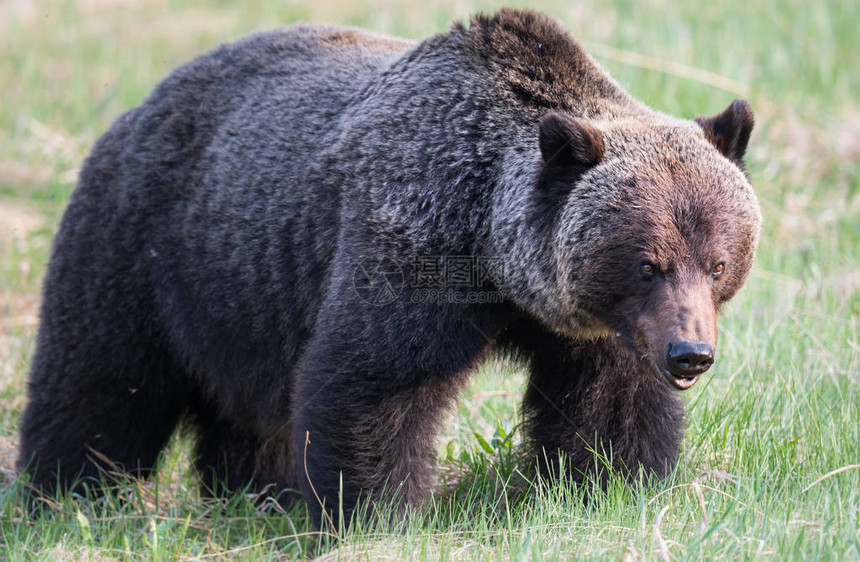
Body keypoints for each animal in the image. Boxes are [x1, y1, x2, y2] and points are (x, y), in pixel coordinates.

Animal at [16, 9, 760, 524]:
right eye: (648, 263)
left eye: (718, 262)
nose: (691, 353)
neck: (491, 256)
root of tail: (141, 104)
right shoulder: (409, 243)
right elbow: (373, 382)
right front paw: (375, 511)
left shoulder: (598, 328)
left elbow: (608, 407)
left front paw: (610, 485)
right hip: (145, 248)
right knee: (101, 382)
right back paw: (64, 495)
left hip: (241, 296)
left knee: (247, 410)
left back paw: (258, 491)